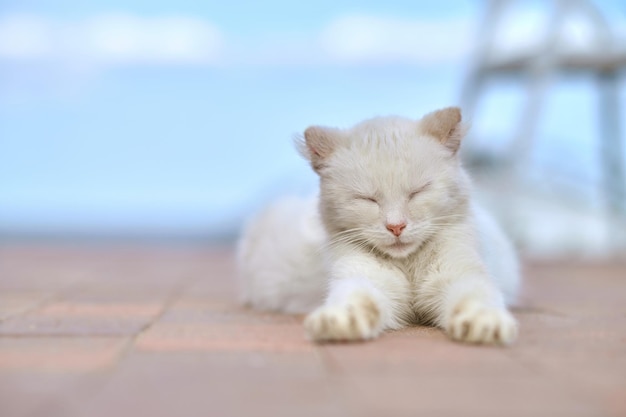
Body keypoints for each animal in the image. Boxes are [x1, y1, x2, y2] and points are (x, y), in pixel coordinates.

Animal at [236, 107, 520, 344]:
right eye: (367, 199)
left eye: (417, 192)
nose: (396, 227)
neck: (408, 265)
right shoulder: (363, 279)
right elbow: (356, 302)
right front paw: (337, 323)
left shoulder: (461, 275)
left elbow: (476, 300)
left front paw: (485, 324)